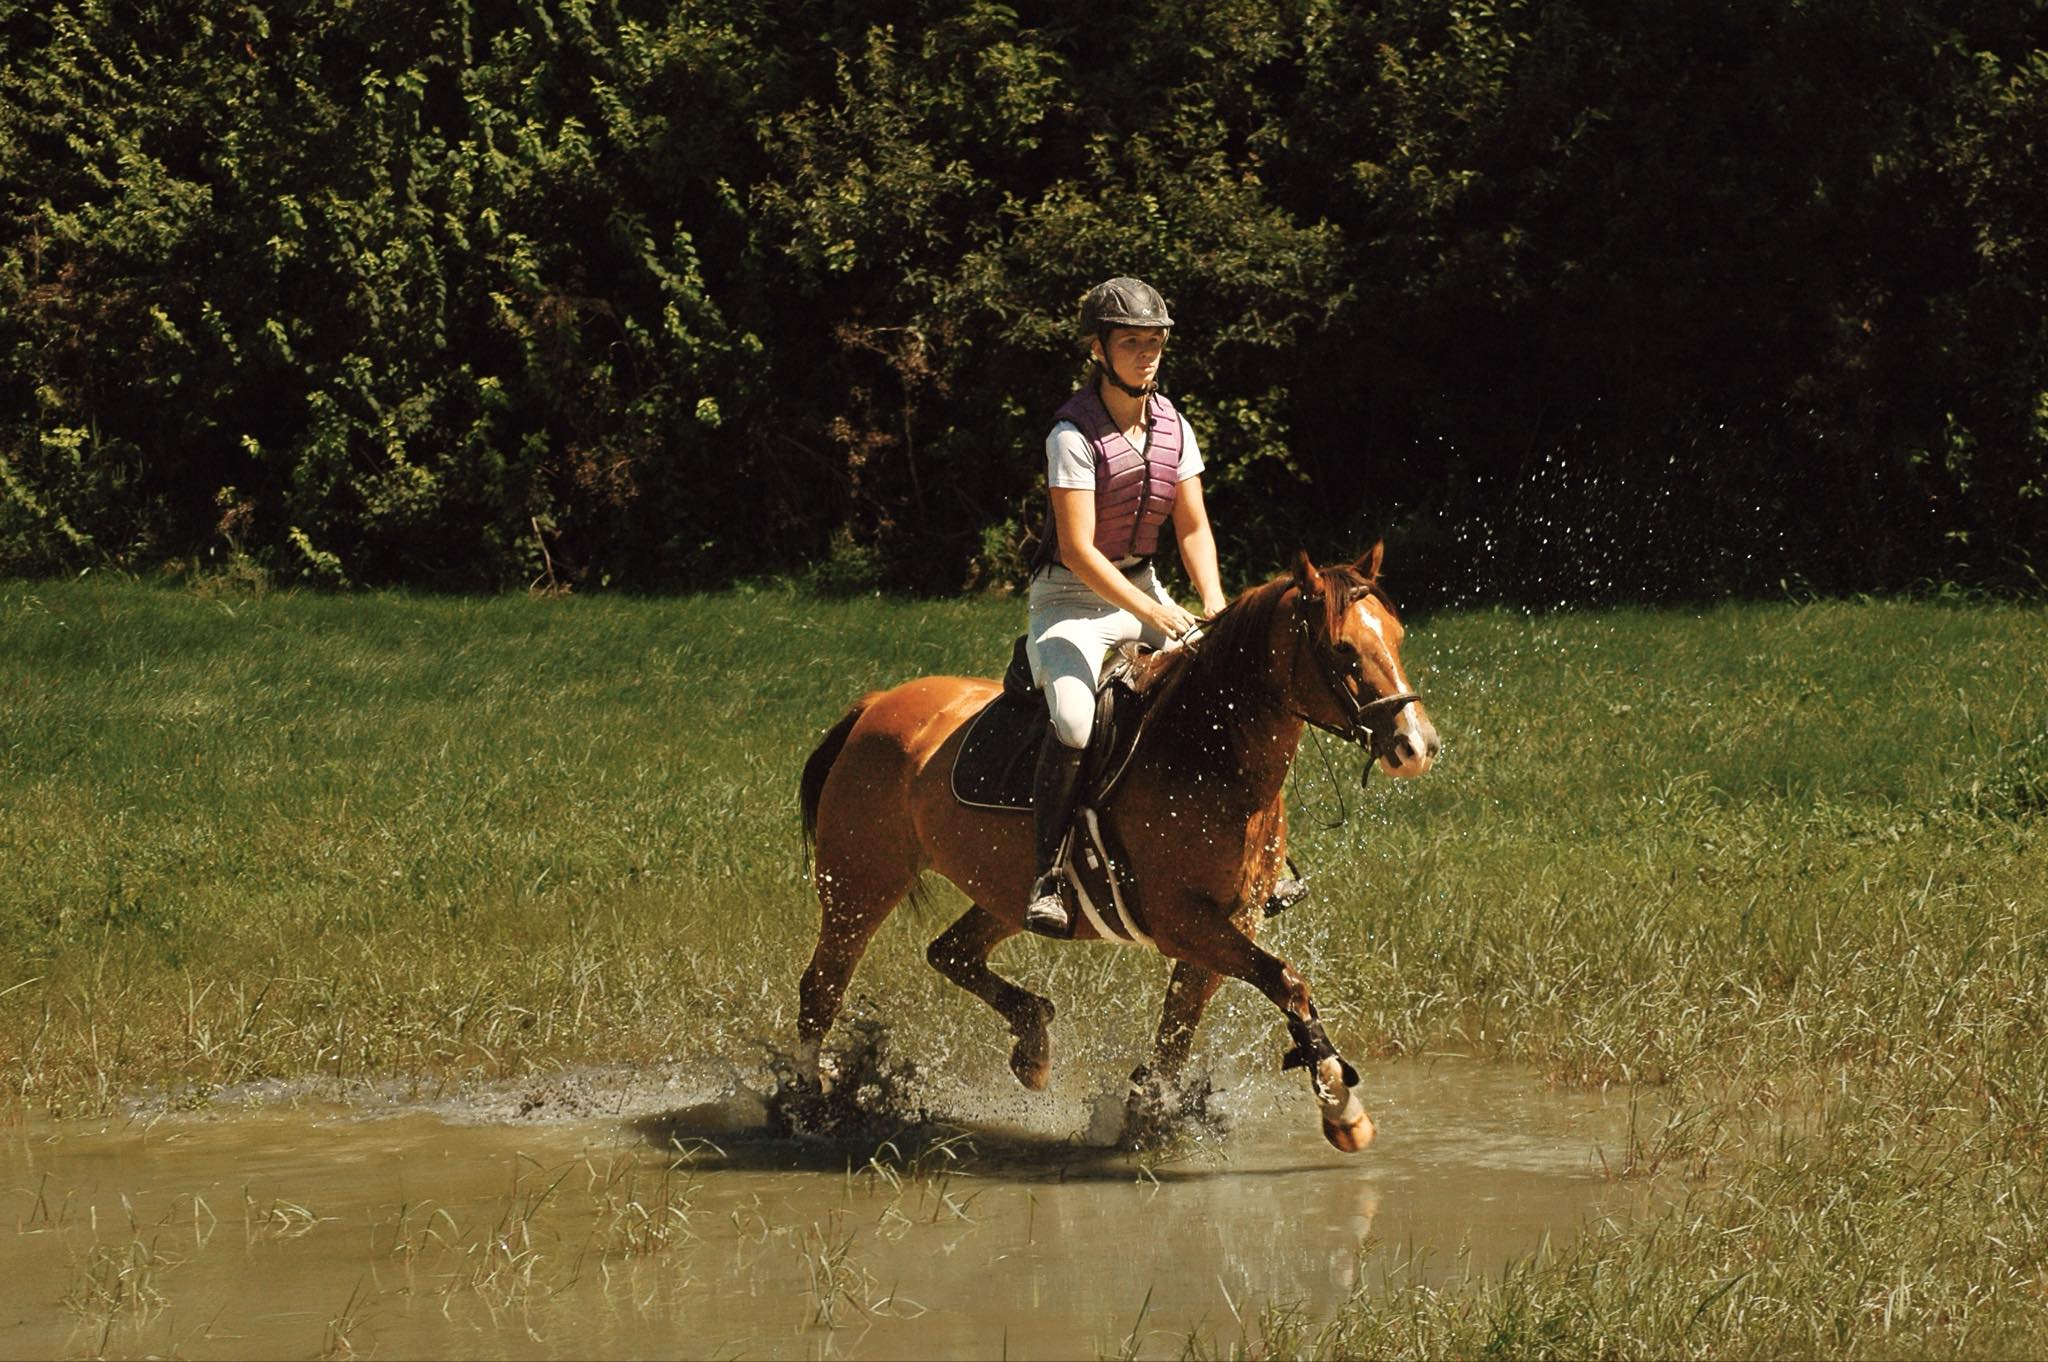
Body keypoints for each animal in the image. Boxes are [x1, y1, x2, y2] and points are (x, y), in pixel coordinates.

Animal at [794, 545, 1440, 1150]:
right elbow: (1286, 982)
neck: (1210, 754)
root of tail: (876, 704)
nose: (1418, 746)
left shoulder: (1232, 922)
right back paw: (807, 1108)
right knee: (821, 991)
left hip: (1001, 891)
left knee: (951, 952)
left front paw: (1147, 1117)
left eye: (1398, 636)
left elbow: (1179, 1029)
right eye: (1342, 649)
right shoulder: (1183, 921)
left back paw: (1032, 1042)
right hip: (859, 884)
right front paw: (1341, 1108)